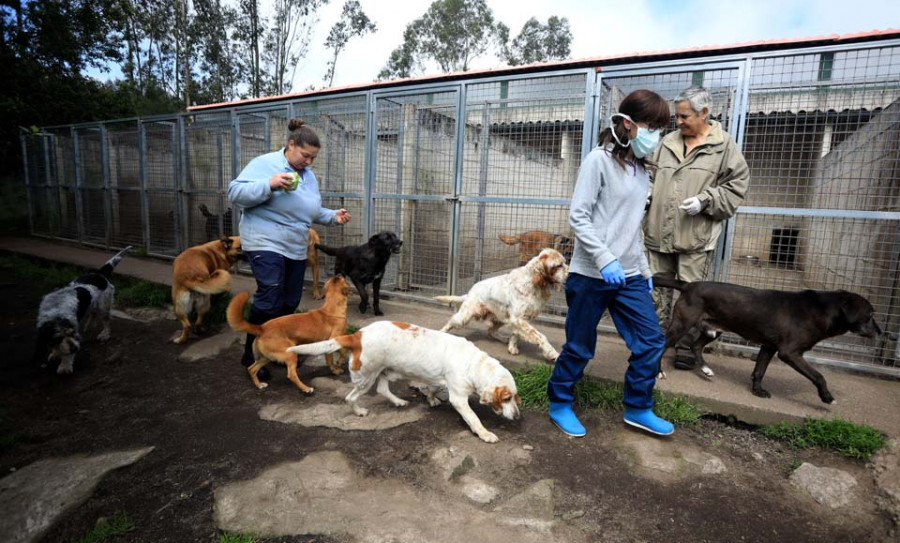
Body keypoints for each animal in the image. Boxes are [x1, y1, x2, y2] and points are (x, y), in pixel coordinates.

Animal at [288, 320, 520, 444]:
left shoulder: (439, 380)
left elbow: (432, 388)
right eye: (506, 398)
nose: (518, 417)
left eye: (515, 397)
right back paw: (360, 411)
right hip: (366, 378)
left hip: (384, 372)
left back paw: (399, 402)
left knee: (383, 390)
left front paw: (431, 400)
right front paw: (485, 434)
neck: (473, 363)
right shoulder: (459, 399)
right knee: (350, 397)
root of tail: (357, 335)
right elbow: (474, 419)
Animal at [432, 250, 568, 362]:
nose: (570, 274)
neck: (533, 282)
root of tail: (470, 292)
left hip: (501, 317)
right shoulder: (518, 318)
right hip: (465, 316)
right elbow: (541, 336)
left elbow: (515, 334)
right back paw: (440, 334)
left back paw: (503, 339)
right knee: (450, 322)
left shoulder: (517, 319)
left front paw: (512, 348)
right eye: (559, 265)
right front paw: (553, 353)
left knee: (491, 331)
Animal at [652, 276, 884, 404]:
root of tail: (687, 285)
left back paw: (706, 369)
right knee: (663, 346)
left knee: (696, 345)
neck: (824, 310)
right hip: (682, 325)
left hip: (715, 328)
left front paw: (757, 391)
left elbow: (759, 370)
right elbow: (818, 375)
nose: (882, 333)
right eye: (870, 315)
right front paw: (827, 397)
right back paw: (659, 372)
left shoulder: (768, 346)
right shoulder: (789, 353)